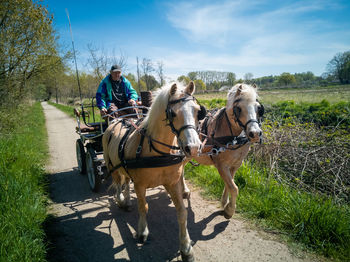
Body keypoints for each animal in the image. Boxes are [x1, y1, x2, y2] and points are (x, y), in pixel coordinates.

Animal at [102, 81, 205, 260]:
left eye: (198, 111)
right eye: (172, 113)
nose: (192, 148)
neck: (158, 151)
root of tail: (116, 121)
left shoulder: (172, 183)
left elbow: (182, 212)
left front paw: (186, 248)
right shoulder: (140, 185)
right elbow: (144, 207)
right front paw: (142, 232)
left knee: (126, 181)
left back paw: (127, 201)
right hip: (111, 165)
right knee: (117, 184)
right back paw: (121, 200)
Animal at [183, 83, 262, 219]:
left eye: (258, 108)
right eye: (238, 108)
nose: (255, 133)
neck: (233, 138)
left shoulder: (235, 165)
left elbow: (229, 184)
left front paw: (225, 203)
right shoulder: (221, 165)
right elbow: (234, 188)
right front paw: (230, 210)